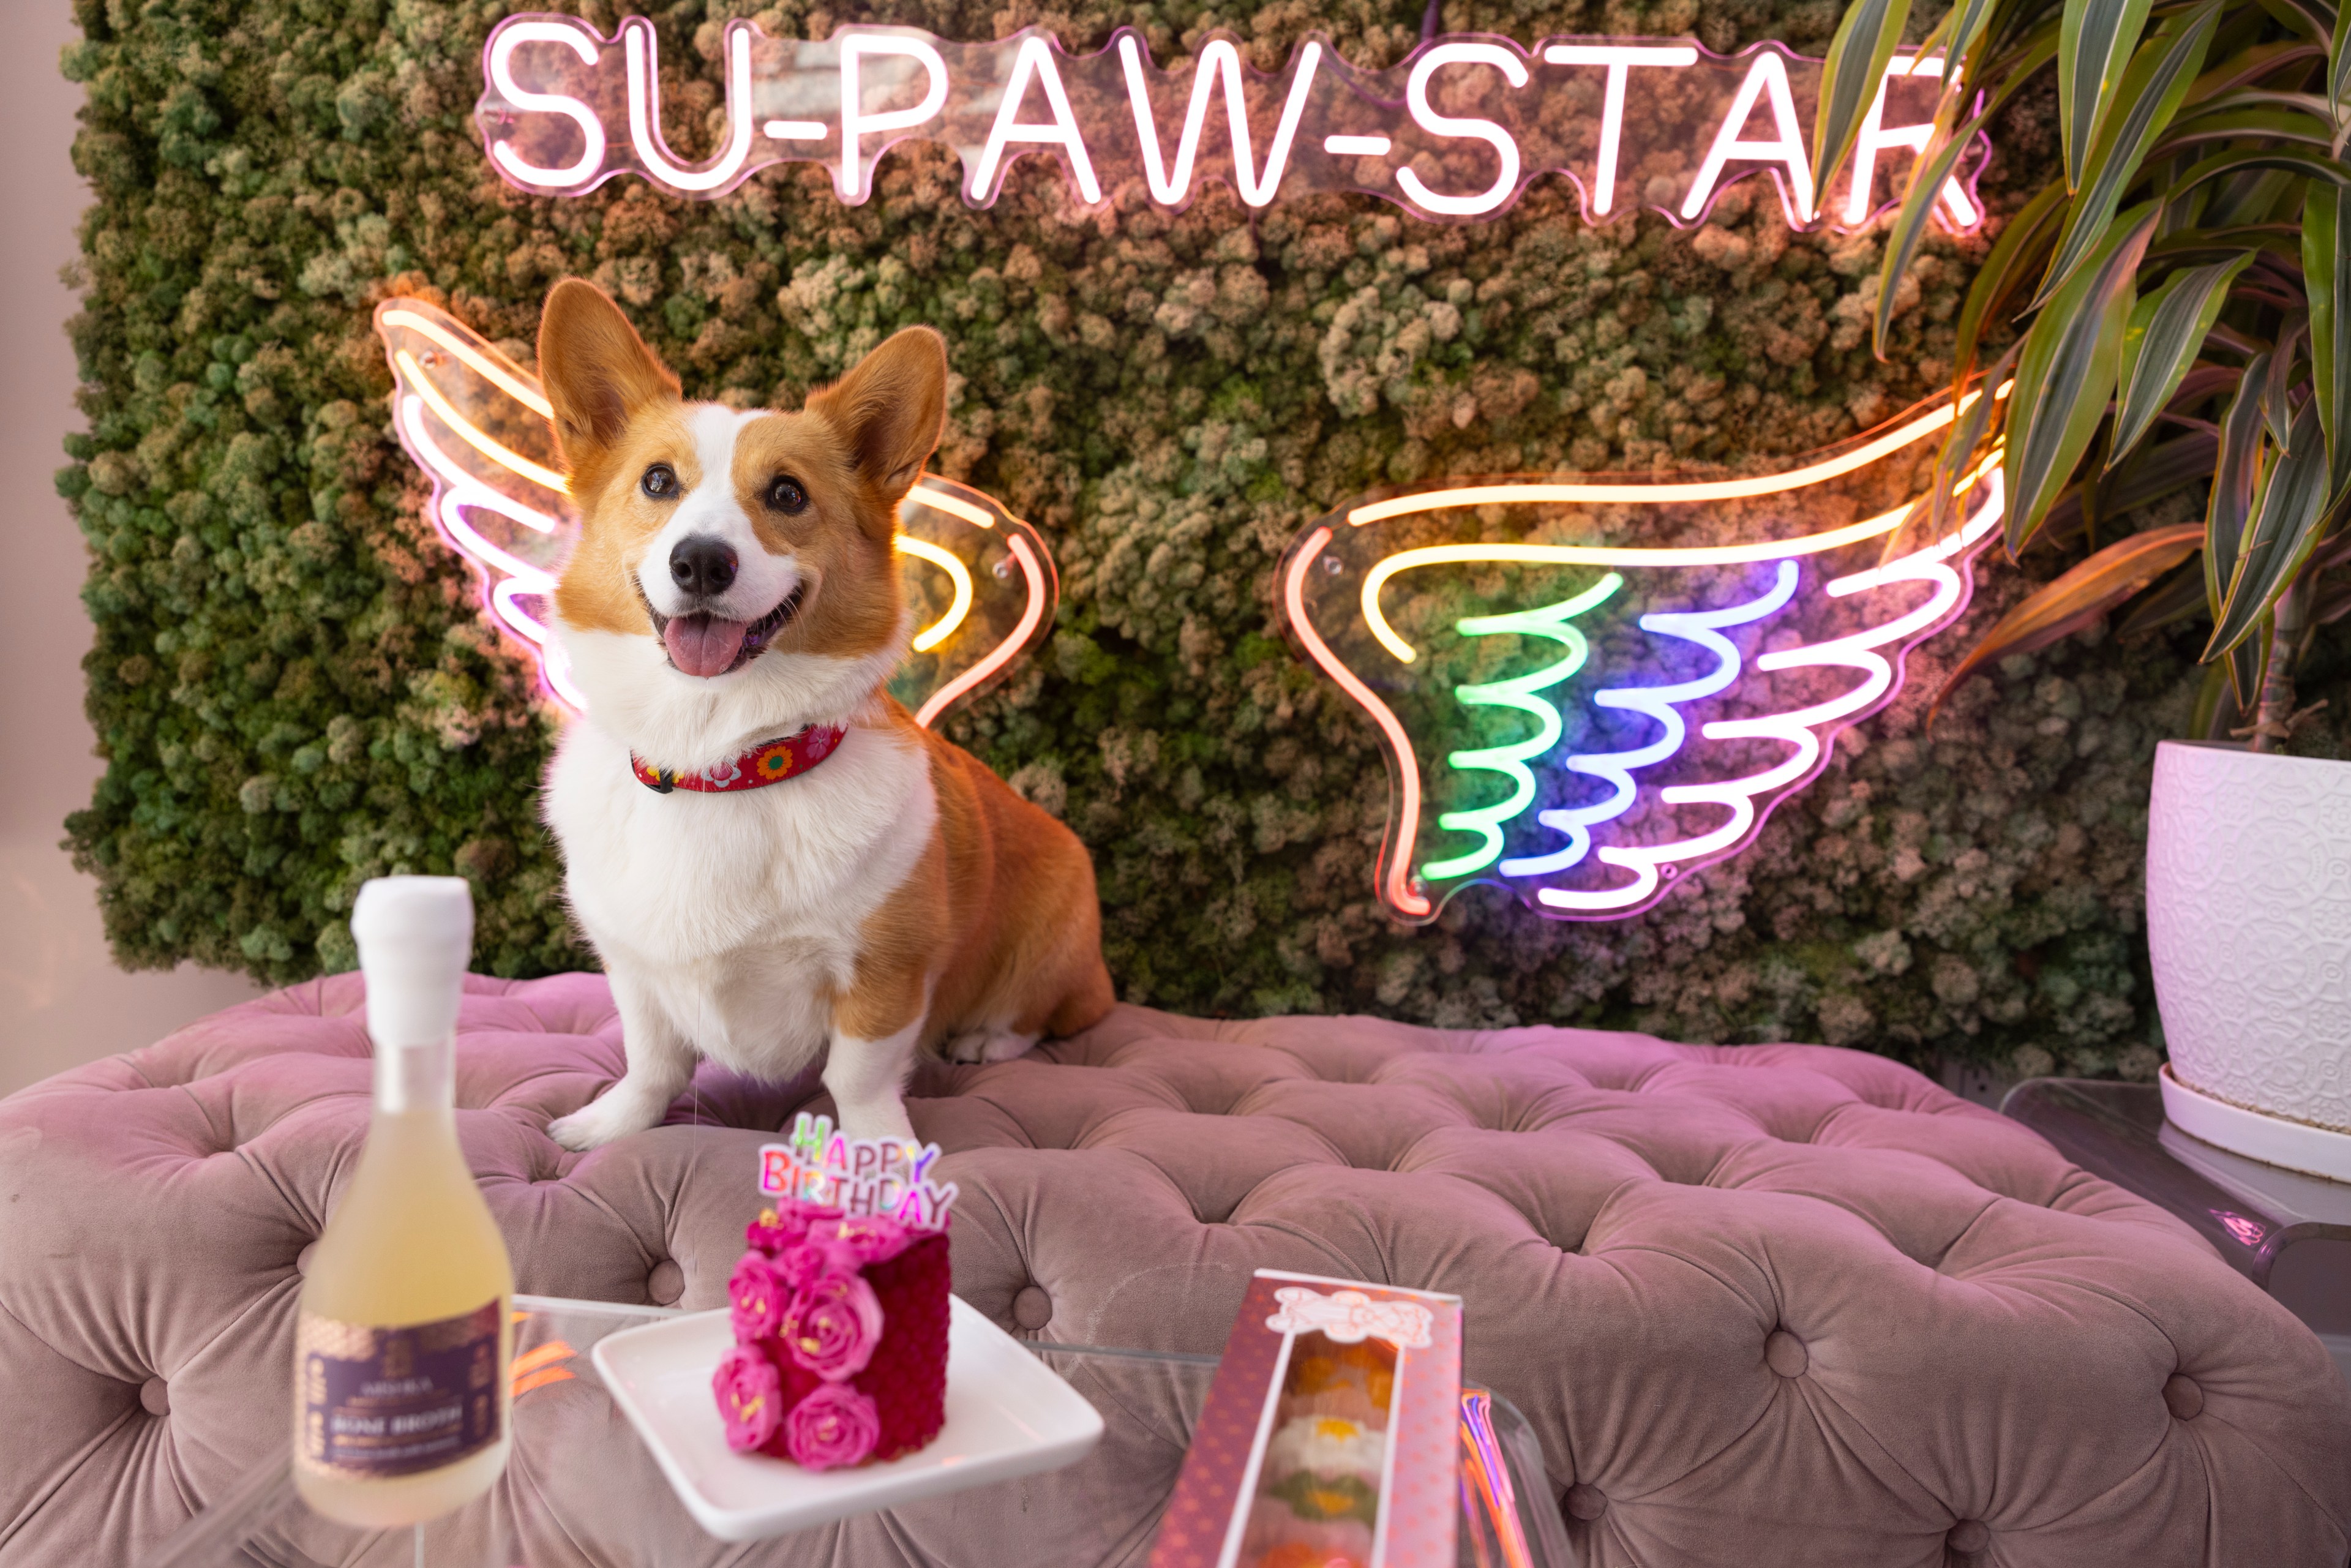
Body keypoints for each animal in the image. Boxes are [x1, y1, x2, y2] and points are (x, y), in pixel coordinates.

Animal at [538, 276, 1114, 1147]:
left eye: (787, 493)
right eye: (658, 481)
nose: (700, 560)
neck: (722, 763)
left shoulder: (886, 972)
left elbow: (858, 1076)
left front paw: (880, 1152)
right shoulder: (634, 969)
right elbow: (651, 1060)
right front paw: (609, 1124)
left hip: (1052, 936)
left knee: (1041, 1016)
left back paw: (986, 1038)